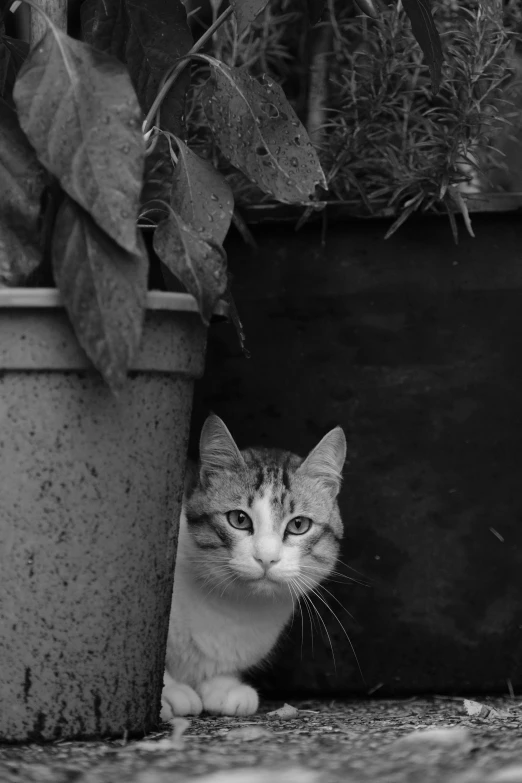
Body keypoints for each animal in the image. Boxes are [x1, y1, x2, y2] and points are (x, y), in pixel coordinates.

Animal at [158, 414, 346, 720]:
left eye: (298, 525)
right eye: (239, 519)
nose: (266, 558)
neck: (234, 606)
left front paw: (224, 687)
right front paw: (168, 693)